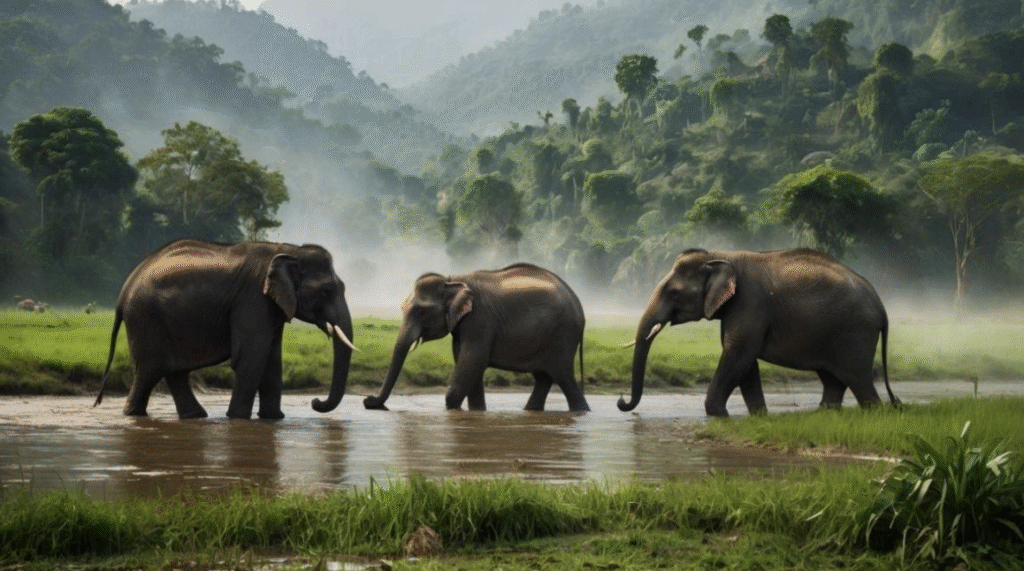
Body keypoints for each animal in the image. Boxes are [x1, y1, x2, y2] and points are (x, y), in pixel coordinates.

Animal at [93, 239, 357, 420]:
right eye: (326, 291)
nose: (315, 402)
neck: (288, 250)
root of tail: (124, 290)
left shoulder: (271, 307)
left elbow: (272, 361)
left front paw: (273, 419)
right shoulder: (252, 300)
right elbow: (251, 359)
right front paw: (237, 419)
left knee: (173, 371)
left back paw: (196, 417)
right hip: (146, 319)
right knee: (149, 369)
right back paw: (135, 416)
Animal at [363, 263, 590, 412]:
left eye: (421, 311)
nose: (368, 400)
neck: (452, 279)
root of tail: (578, 303)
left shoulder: (479, 320)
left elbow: (472, 361)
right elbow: (468, 364)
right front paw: (477, 412)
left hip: (563, 334)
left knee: (563, 376)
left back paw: (581, 411)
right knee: (544, 378)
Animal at [618, 248, 899, 417]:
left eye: (674, 292)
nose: (621, 402)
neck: (721, 254)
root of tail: (880, 305)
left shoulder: (749, 302)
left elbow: (738, 354)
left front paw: (717, 414)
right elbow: (744, 362)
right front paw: (759, 415)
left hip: (854, 333)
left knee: (858, 379)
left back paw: (874, 411)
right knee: (832, 380)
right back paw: (825, 413)